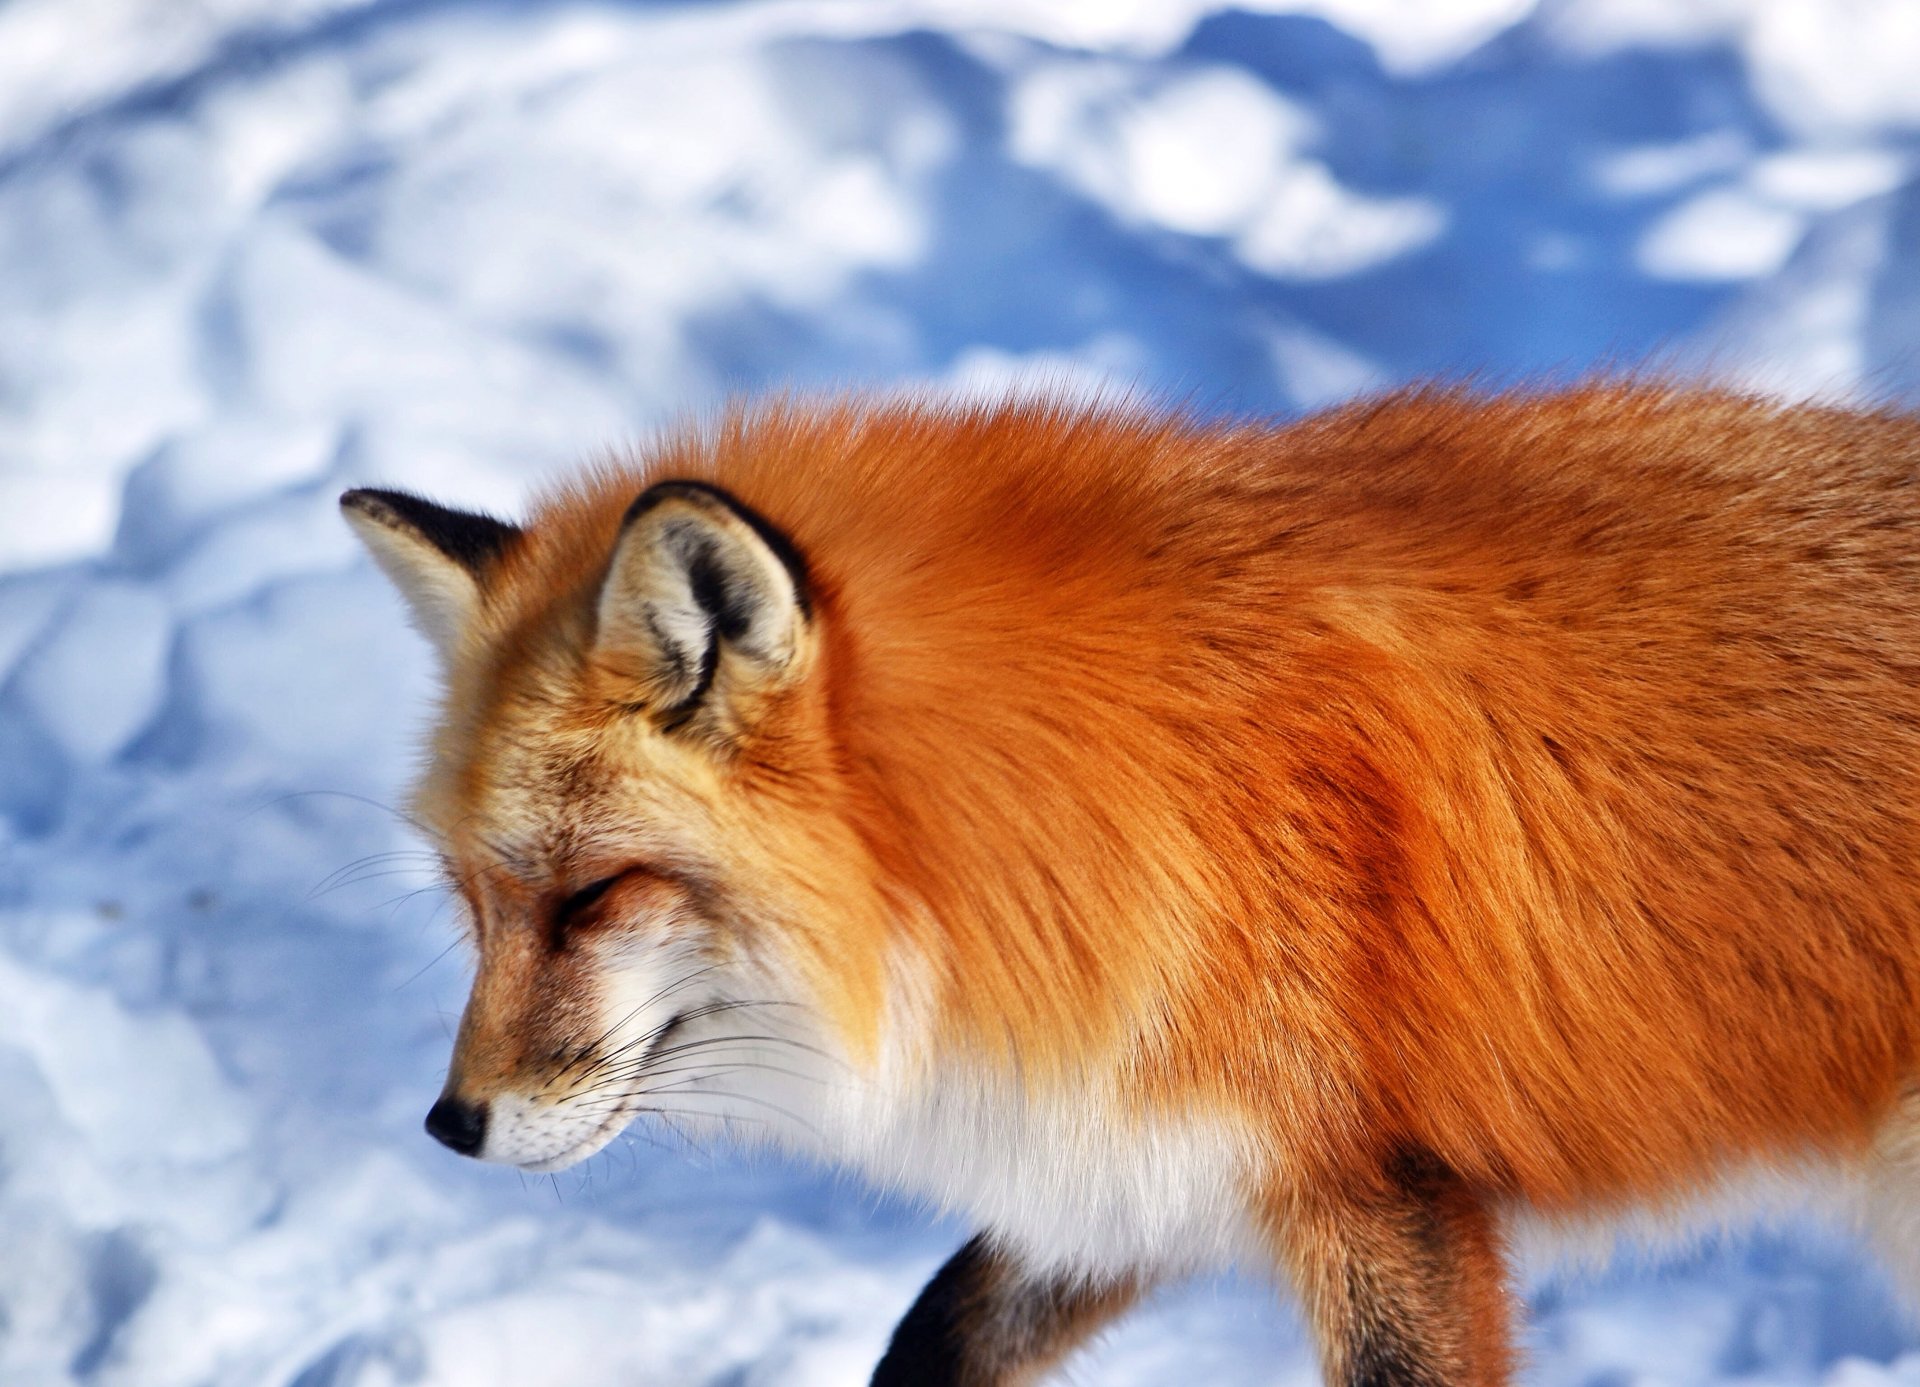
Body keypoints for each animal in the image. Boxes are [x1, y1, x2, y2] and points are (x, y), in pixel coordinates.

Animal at [337, 386, 1920, 1383]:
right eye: (475, 901)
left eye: (593, 896)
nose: (449, 1124)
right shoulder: (1133, 1151)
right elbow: (931, 1337)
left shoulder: (1380, 1190)